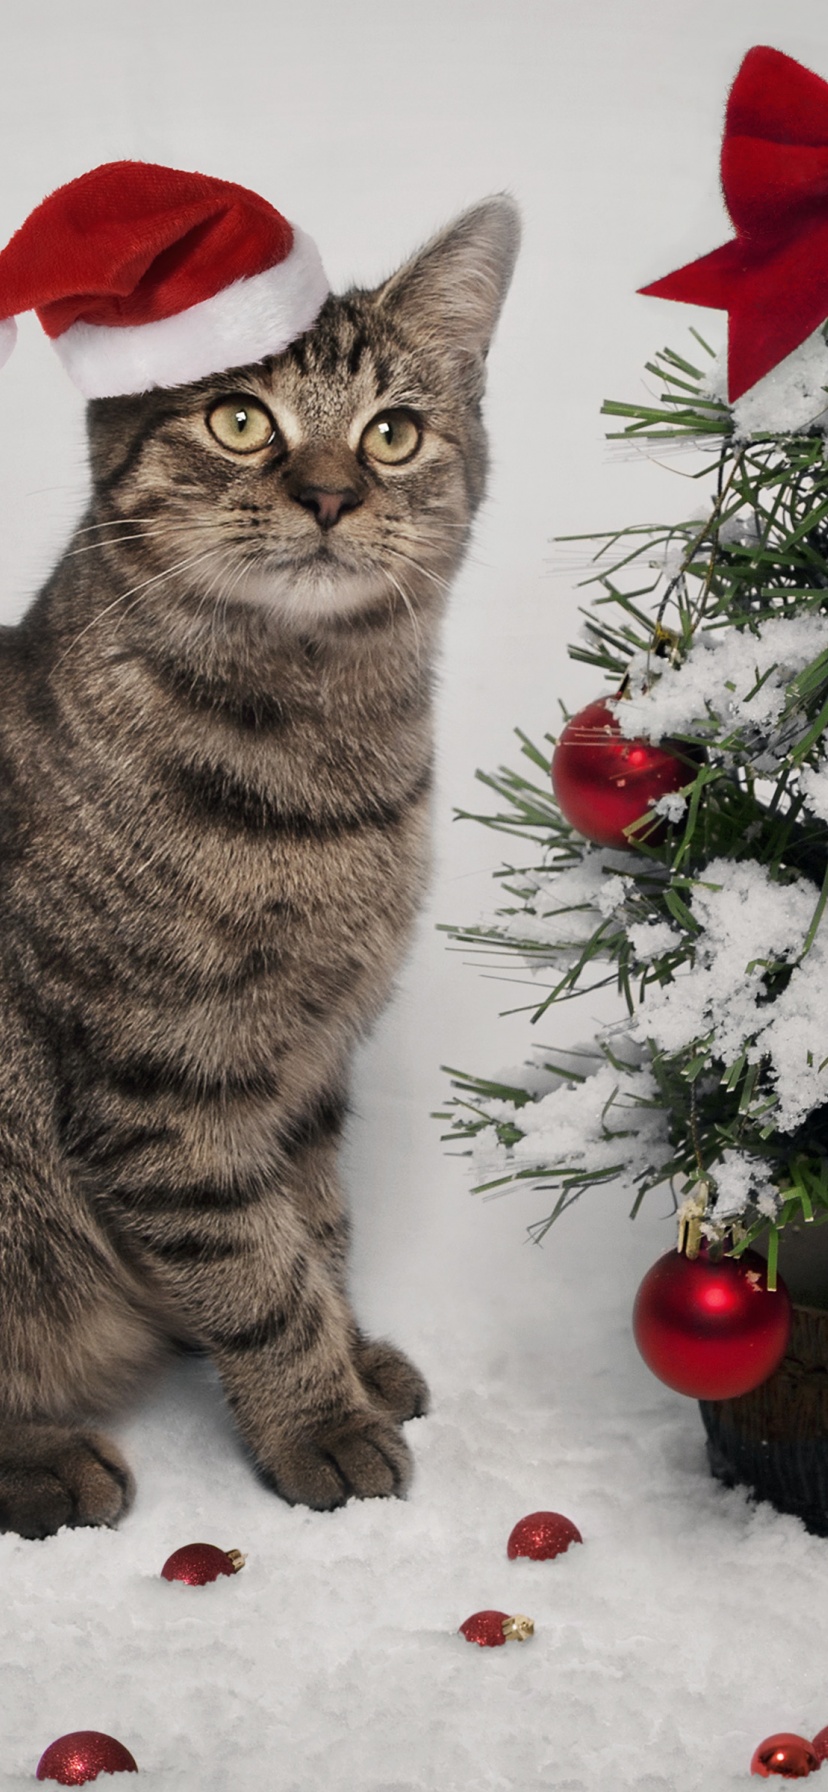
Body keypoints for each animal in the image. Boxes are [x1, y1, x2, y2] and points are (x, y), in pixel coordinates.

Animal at [0, 196, 519, 1541]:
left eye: (393, 432)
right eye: (241, 420)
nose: (331, 493)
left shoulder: (310, 1064)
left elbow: (317, 1230)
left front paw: (354, 1359)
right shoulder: (162, 1079)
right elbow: (251, 1267)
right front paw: (319, 1419)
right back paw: (42, 1461)